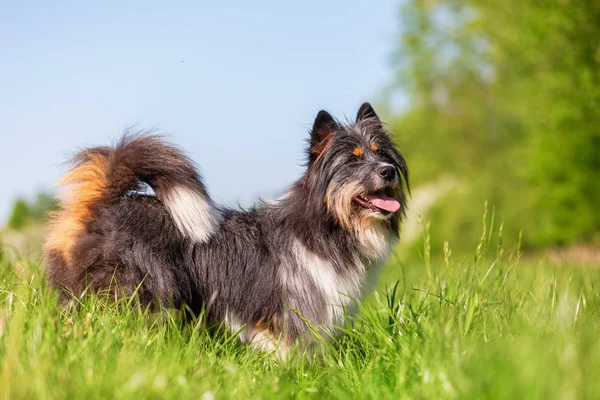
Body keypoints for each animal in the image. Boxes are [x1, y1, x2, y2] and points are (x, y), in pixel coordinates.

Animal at [42, 103, 408, 356]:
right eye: (353, 160)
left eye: (382, 154)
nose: (388, 171)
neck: (325, 226)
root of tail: (104, 202)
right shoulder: (288, 314)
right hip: (140, 292)